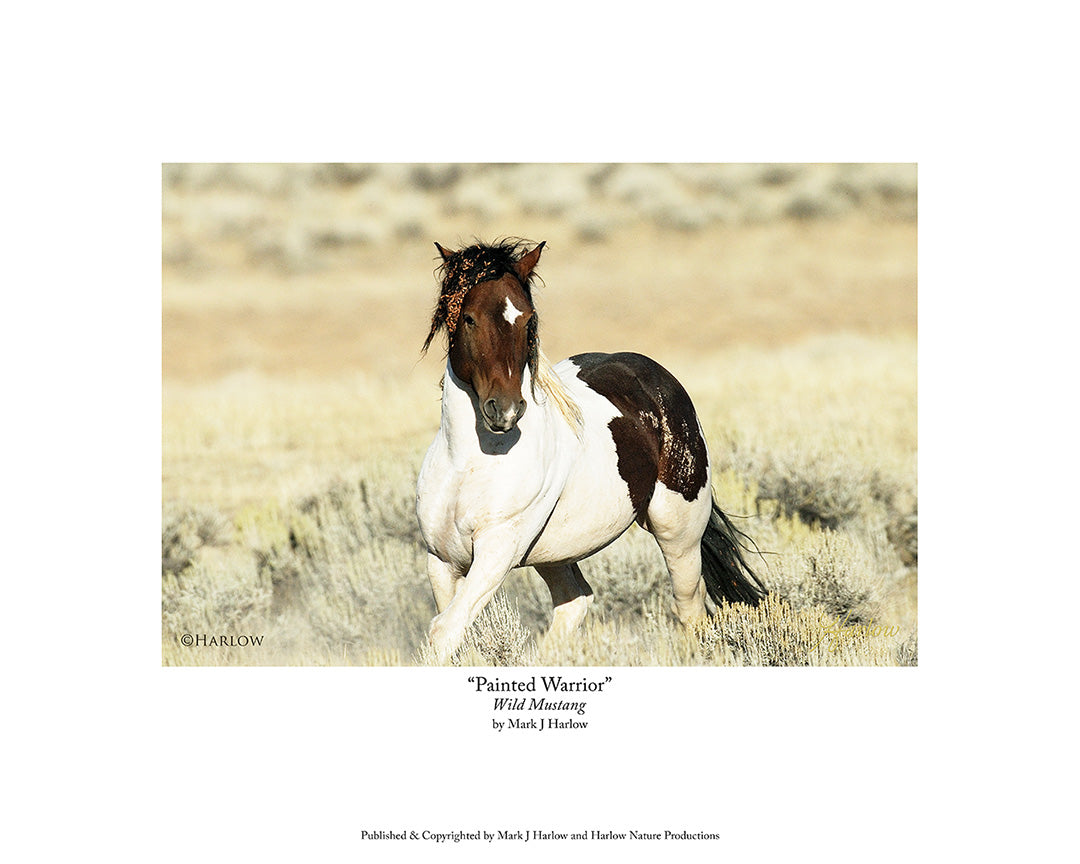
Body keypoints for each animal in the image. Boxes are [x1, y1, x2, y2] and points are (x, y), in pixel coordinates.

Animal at [416, 239, 766, 663]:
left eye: (528, 320)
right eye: (468, 318)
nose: (506, 410)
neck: (469, 463)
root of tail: (657, 377)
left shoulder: (496, 552)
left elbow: (444, 630)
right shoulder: (441, 560)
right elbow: (451, 632)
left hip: (679, 533)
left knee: (690, 610)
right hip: (554, 554)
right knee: (576, 600)